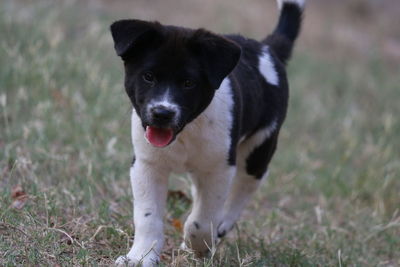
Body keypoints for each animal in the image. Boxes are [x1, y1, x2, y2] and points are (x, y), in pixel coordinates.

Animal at [109, 1, 304, 266]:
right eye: (148, 77)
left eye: (188, 83)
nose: (162, 113)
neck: (186, 132)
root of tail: (267, 47)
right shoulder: (146, 164)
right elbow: (148, 216)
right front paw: (140, 257)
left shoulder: (219, 168)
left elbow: (202, 221)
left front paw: (199, 245)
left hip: (260, 146)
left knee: (247, 185)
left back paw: (220, 227)